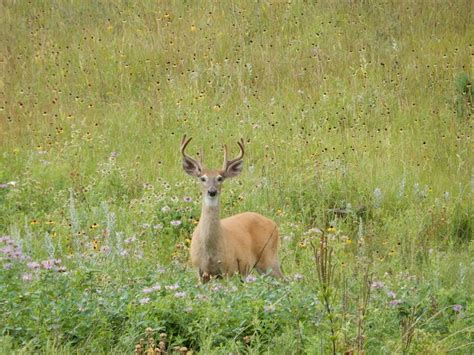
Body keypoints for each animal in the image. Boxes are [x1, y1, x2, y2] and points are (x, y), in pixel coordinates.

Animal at [179, 136, 282, 284]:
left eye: (220, 178)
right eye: (203, 178)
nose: (212, 191)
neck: (210, 251)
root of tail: (273, 223)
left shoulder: (228, 269)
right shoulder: (199, 271)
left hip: (269, 257)